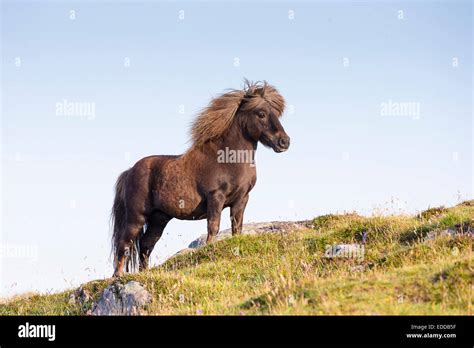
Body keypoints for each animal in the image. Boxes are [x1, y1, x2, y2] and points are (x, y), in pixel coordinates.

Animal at [110, 80, 288, 276]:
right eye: (261, 113)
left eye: (276, 113)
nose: (284, 142)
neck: (228, 159)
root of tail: (129, 171)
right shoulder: (216, 197)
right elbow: (213, 227)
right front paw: (209, 251)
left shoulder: (241, 199)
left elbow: (237, 228)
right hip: (136, 217)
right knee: (125, 244)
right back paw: (118, 275)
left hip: (159, 219)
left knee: (146, 244)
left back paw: (144, 273)